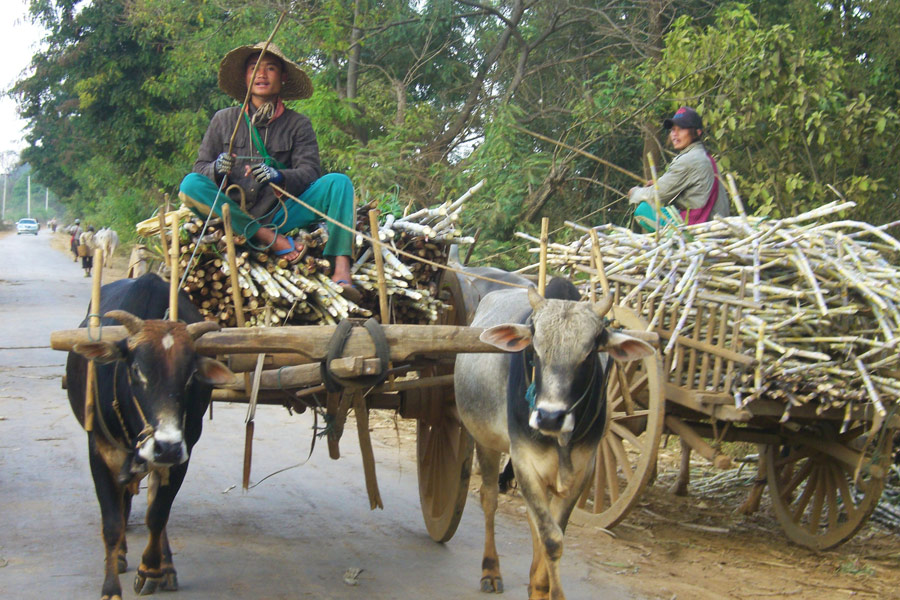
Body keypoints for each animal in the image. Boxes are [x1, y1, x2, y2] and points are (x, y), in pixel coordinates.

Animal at [67, 274, 236, 596]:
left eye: (191, 376)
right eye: (135, 370)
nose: (166, 447)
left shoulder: (184, 454)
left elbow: (157, 514)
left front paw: (150, 568)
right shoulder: (99, 452)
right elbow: (111, 524)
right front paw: (111, 587)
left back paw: (164, 566)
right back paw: (122, 555)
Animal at [458, 278, 652, 596]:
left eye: (589, 354)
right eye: (534, 352)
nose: (549, 417)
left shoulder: (583, 470)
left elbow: (553, 532)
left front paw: (540, 587)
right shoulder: (524, 462)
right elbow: (551, 538)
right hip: (485, 441)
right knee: (489, 499)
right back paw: (490, 570)